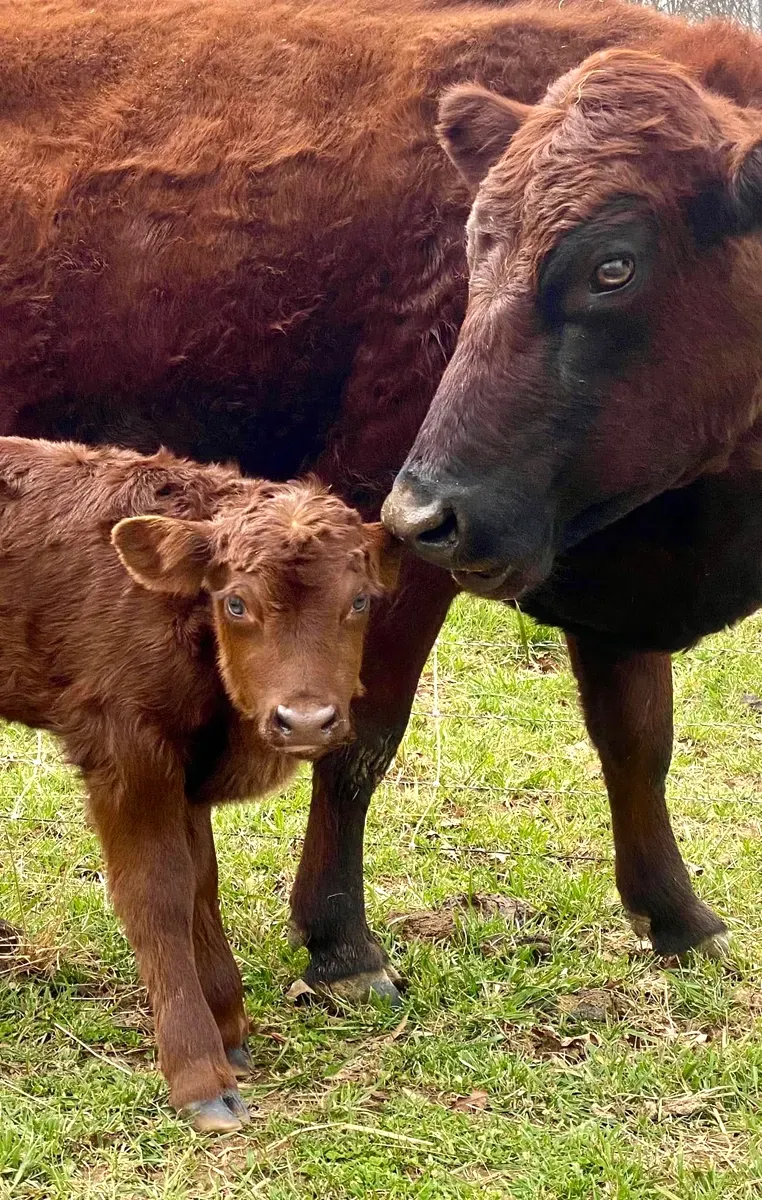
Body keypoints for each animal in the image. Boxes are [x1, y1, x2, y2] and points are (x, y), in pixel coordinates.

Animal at [0, 436, 398, 1130]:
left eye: (359, 601)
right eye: (236, 602)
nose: (305, 719)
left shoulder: (185, 770)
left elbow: (200, 884)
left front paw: (230, 1025)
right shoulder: (128, 749)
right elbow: (158, 892)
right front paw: (198, 1072)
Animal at [1, 0, 761, 1002]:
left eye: (614, 267)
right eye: (473, 246)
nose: (427, 509)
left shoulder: (611, 550)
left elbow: (639, 739)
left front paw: (679, 919)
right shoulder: (381, 533)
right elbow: (362, 733)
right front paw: (341, 945)